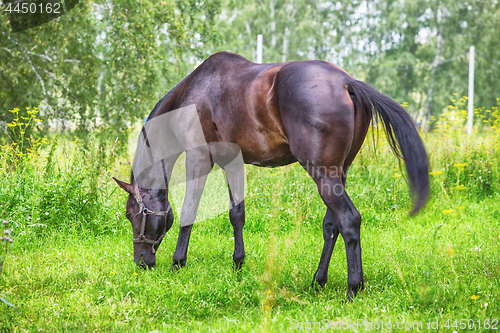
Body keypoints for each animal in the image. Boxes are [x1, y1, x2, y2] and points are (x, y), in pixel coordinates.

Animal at [114, 50, 430, 300]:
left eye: (131, 214)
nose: (141, 262)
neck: (194, 94)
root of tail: (346, 82)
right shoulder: (233, 164)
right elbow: (236, 214)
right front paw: (238, 264)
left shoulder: (199, 159)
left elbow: (189, 212)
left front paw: (178, 262)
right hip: (339, 174)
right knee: (332, 225)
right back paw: (318, 281)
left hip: (323, 174)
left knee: (349, 220)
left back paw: (354, 288)